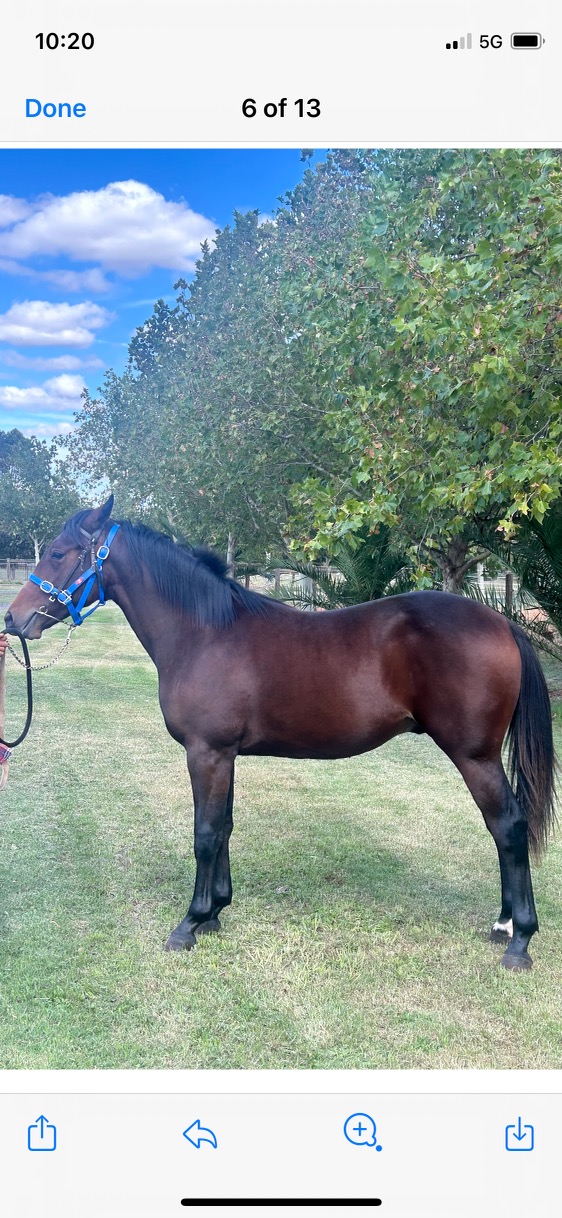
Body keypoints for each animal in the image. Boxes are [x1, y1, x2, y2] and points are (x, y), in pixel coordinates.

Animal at [4, 496, 557, 971]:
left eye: (58, 553)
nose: (13, 619)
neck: (206, 633)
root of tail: (503, 624)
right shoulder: (224, 755)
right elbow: (224, 827)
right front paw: (216, 913)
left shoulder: (206, 753)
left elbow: (205, 834)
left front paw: (189, 923)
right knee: (503, 830)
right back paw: (504, 925)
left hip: (475, 756)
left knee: (508, 826)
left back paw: (520, 940)